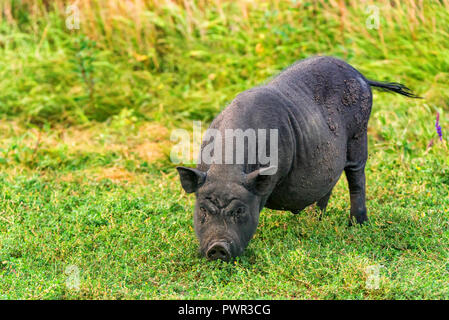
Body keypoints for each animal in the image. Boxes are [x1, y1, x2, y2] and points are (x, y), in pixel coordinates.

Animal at [177, 56, 418, 262]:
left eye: (240, 210)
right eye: (203, 210)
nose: (218, 247)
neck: (227, 169)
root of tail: (361, 75)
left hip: (359, 135)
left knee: (357, 178)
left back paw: (357, 224)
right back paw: (314, 220)